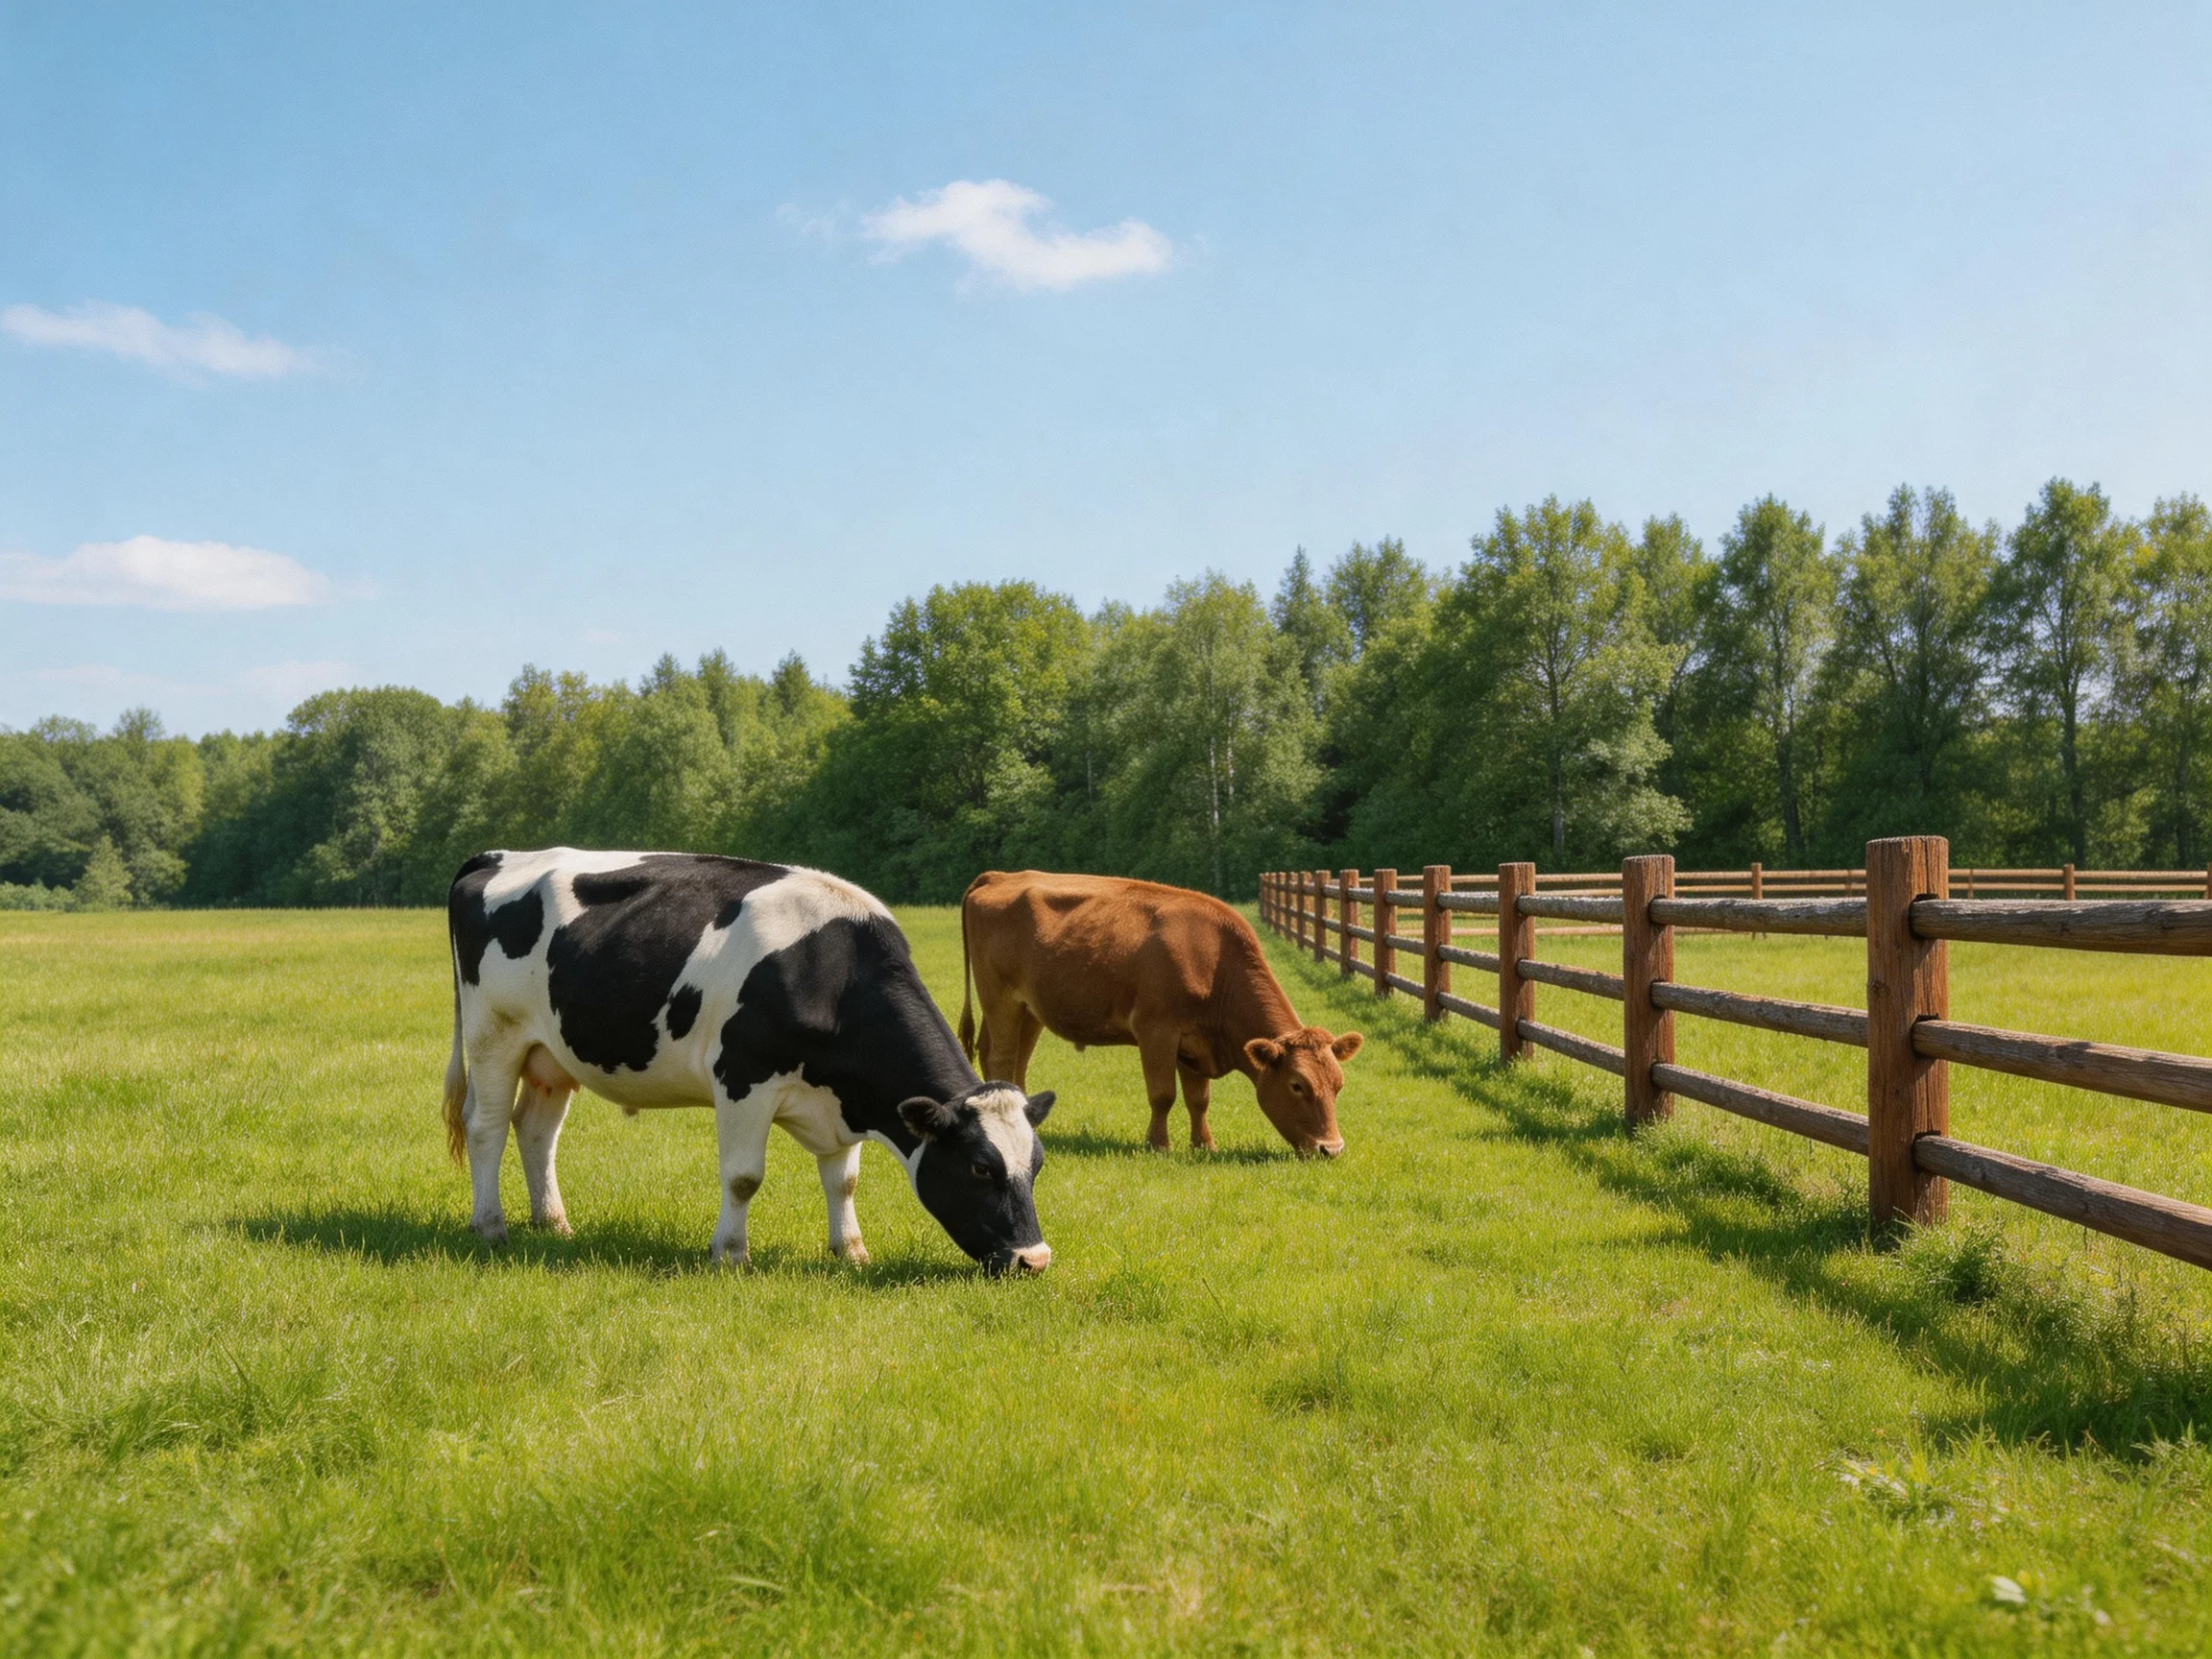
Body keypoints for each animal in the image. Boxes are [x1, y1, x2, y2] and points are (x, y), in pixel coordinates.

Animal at [442, 848, 1056, 1275]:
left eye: (1037, 1165)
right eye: (980, 1167)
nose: (1035, 1260)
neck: (828, 973)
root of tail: (500, 855)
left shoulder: (843, 1100)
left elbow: (844, 1181)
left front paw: (851, 1251)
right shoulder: (742, 1079)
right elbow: (743, 1177)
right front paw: (731, 1254)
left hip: (551, 1055)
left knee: (536, 1131)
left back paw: (553, 1223)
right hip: (494, 1034)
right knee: (486, 1127)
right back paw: (490, 1226)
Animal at [958, 870, 1362, 1157]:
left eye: (1338, 1085)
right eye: (1297, 1085)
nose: (1331, 1149)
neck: (1212, 960)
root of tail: (1001, 876)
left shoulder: (1194, 1043)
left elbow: (1199, 1100)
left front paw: (1204, 1145)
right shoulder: (1156, 1031)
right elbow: (1163, 1094)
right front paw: (1158, 1145)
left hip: (1030, 1010)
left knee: (1015, 1061)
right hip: (1001, 1000)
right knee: (1001, 1057)